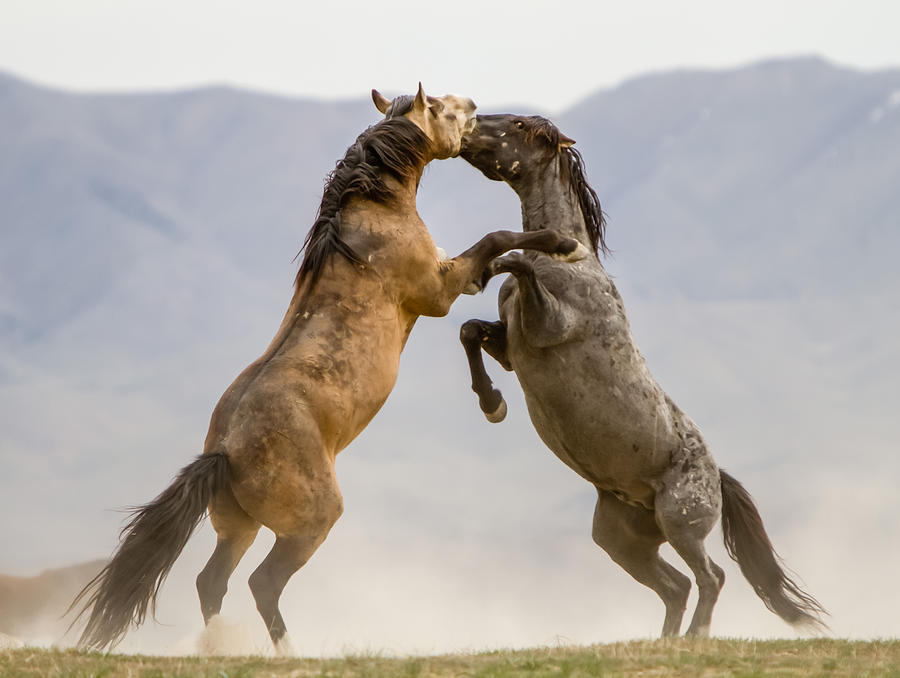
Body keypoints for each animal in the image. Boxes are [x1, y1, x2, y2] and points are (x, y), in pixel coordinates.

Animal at [72, 87, 592, 656]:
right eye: (438, 106)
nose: (474, 105)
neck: (366, 224)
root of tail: (224, 452)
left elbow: (495, 254)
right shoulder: (441, 290)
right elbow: (496, 240)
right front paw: (565, 245)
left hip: (238, 528)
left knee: (212, 582)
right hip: (308, 525)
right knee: (262, 583)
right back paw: (288, 653)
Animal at [460, 114, 828, 640]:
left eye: (517, 124)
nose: (468, 125)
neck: (573, 269)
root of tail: (716, 477)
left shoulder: (548, 326)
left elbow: (517, 265)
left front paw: (500, 263)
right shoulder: (512, 348)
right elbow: (471, 330)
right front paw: (492, 403)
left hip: (681, 523)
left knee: (710, 577)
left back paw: (694, 638)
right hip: (621, 540)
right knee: (677, 586)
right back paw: (666, 640)